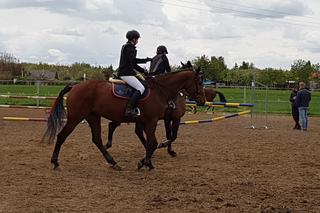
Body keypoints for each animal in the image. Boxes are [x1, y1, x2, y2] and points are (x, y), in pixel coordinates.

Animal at [41, 69, 205, 171]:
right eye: (199, 82)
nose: (202, 101)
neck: (160, 90)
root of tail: (75, 86)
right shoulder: (152, 121)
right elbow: (153, 142)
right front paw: (145, 163)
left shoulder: (149, 121)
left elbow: (153, 142)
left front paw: (147, 161)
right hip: (76, 117)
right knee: (62, 136)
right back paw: (55, 162)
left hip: (93, 116)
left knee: (97, 139)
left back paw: (113, 162)